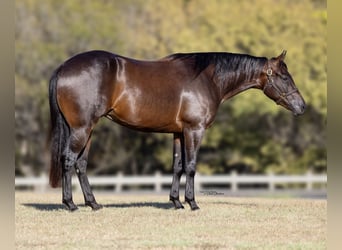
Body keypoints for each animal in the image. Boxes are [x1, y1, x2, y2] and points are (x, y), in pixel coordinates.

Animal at [48, 50, 304, 211]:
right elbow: (190, 167)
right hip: (81, 129)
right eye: (284, 77)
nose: (302, 106)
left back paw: (93, 203)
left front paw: (176, 202)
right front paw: (192, 203)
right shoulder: (194, 130)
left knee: (81, 165)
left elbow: (177, 166)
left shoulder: (179, 133)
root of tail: (63, 67)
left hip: (88, 130)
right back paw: (70, 204)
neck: (207, 78)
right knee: (68, 160)